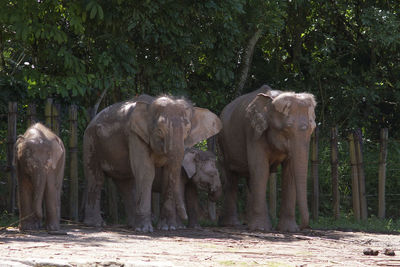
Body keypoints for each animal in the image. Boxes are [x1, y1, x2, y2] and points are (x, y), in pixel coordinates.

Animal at [83, 94, 222, 232]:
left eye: (187, 130)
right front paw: (145, 230)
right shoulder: (134, 135)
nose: (185, 217)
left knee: (126, 184)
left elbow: (170, 173)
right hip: (91, 142)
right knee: (97, 178)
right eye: (159, 130)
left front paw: (169, 227)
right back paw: (96, 224)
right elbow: (146, 171)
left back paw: (132, 224)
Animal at [217, 85, 318, 232]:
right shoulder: (253, 132)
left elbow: (289, 173)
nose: (304, 226)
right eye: (286, 129)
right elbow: (261, 170)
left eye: (312, 129)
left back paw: (250, 223)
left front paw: (289, 230)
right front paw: (261, 229)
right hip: (223, 144)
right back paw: (232, 224)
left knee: (249, 178)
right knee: (231, 178)